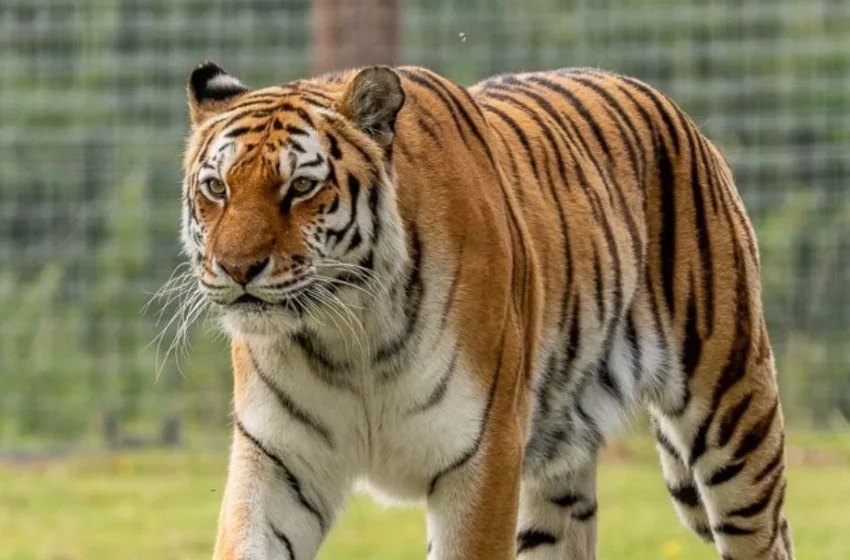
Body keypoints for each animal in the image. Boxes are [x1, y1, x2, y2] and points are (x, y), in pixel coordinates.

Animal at [179, 60, 794, 560]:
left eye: (302, 187)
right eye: (217, 188)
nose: (237, 268)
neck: (346, 336)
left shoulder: (482, 456)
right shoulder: (278, 459)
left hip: (733, 409)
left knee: (767, 534)